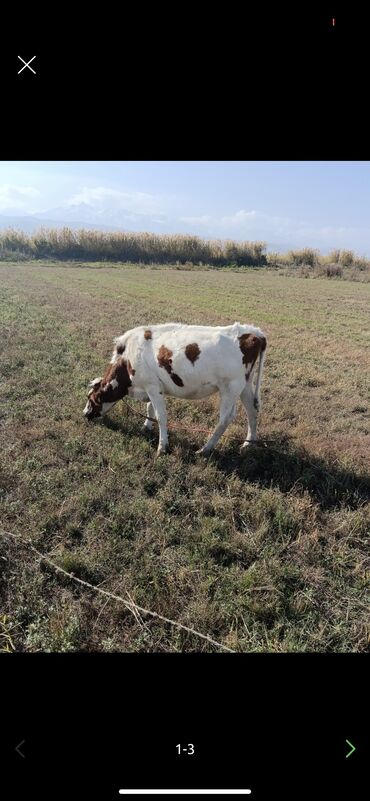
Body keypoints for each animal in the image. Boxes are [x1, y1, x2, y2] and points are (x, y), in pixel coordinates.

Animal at [83, 320, 266, 456]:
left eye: (90, 398)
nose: (84, 414)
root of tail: (253, 331)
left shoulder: (152, 386)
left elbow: (161, 416)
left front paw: (162, 447)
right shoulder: (153, 386)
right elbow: (149, 407)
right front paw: (146, 426)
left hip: (230, 387)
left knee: (225, 419)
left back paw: (205, 449)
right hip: (245, 385)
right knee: (252, 410)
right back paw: (248, 443)